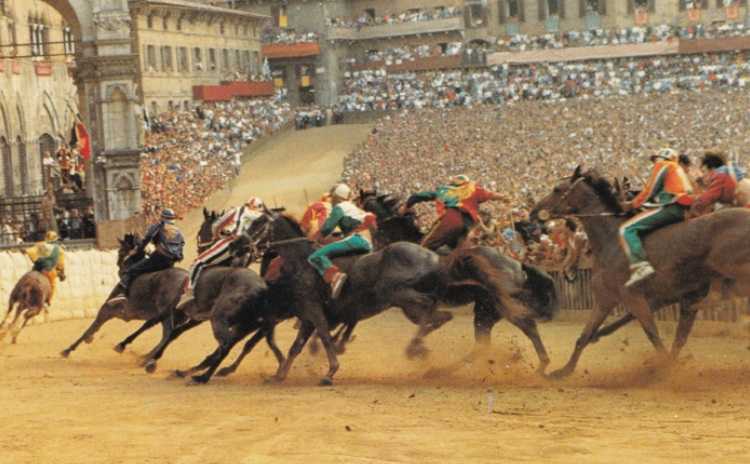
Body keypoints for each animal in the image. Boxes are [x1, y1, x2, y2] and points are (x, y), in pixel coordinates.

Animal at [532, 169, 750, 378]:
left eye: (557, 189)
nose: (535, 211)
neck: (611, 241)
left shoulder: (634, 298)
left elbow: (654, 335)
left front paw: (664, 369)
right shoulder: (607, 299)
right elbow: (584, 336)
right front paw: (563, 371)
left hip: (729, 266)